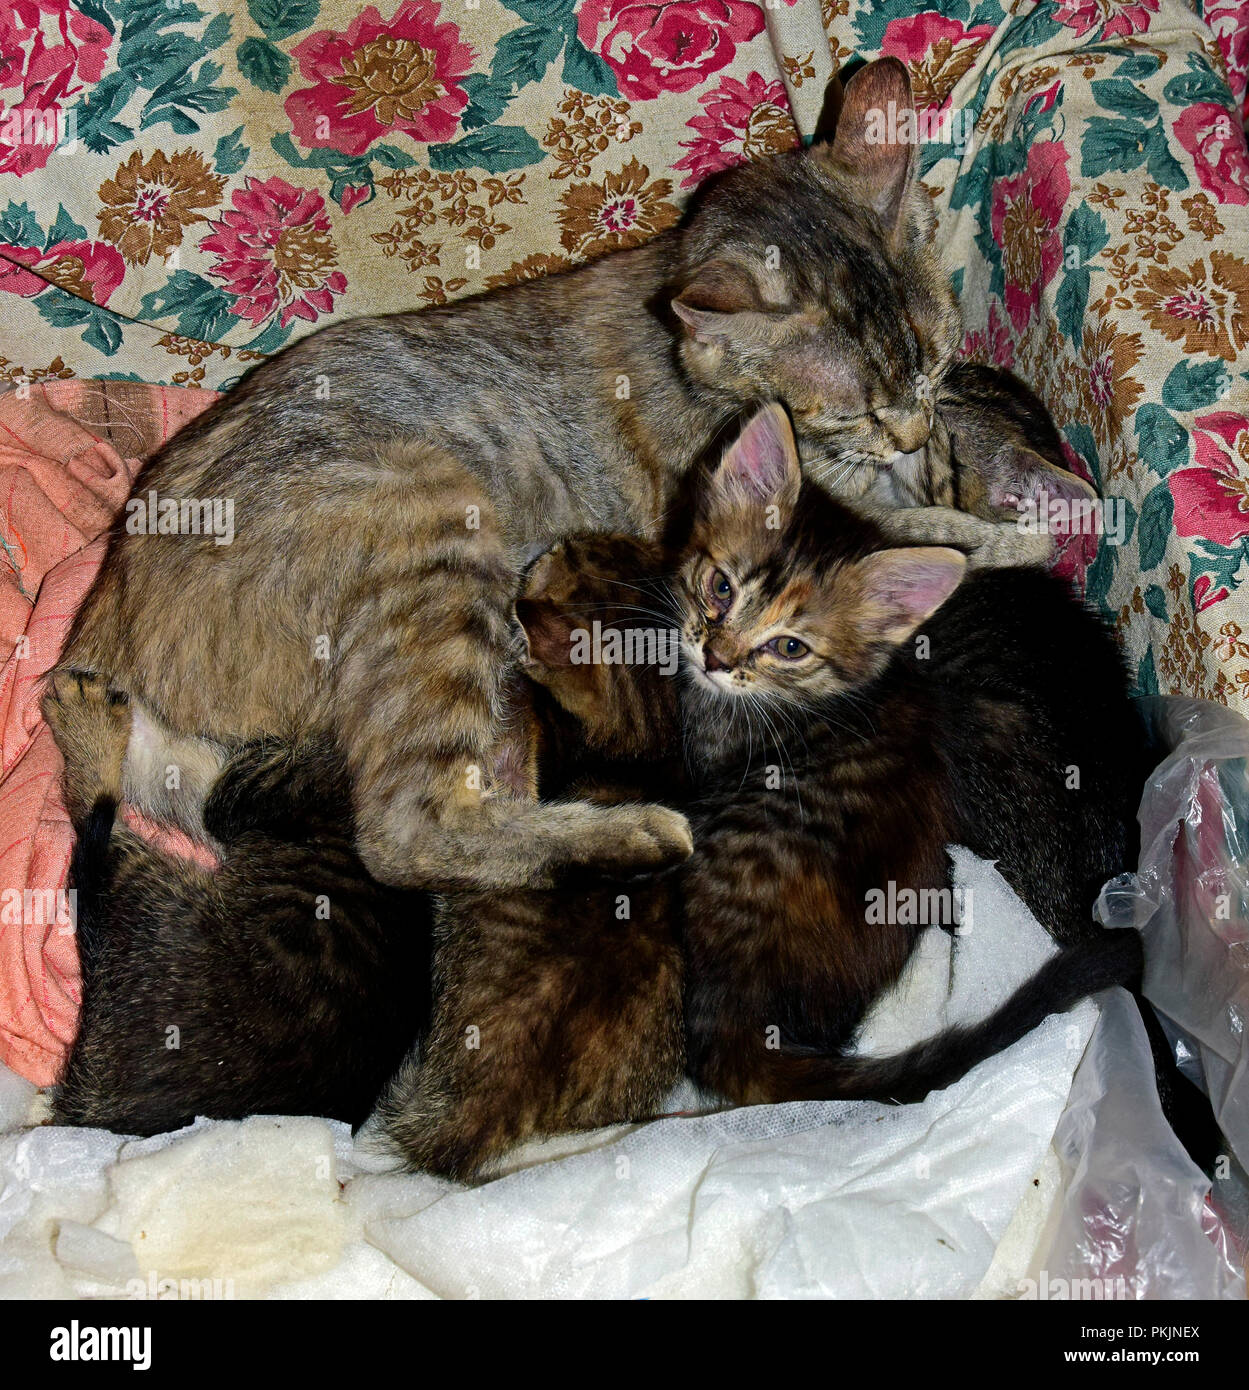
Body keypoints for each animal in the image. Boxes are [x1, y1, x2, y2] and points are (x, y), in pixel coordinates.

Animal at [53, 59, 994, 889]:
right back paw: (619, 834)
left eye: (937, 365)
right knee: (403, 832)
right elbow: (947, 538)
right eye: (855, 410)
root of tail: (106, 615)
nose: (911, 429)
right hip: (434, 524)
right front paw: (981, 526)